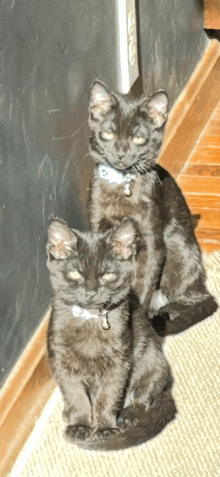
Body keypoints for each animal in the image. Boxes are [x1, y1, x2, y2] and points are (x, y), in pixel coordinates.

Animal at [46, 218, 175, 448]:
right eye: (75, 273)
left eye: (107, 274)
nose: (90, 292)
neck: (89, 319)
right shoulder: (60, 361)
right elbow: (76, 395)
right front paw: (80, 424)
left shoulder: (118, 364)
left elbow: (108, 397)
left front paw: (105, 428)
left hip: (151, 360)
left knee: (144, 397)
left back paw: (128, 415)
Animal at [87, 80, 217, 334]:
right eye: (108, 134)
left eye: (138, 139)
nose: (120, 154)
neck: (122, 184)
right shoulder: (98, 226)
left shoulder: (152, 243)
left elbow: (143, 285)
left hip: (177, 246)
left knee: (201, 299)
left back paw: (165, 315)